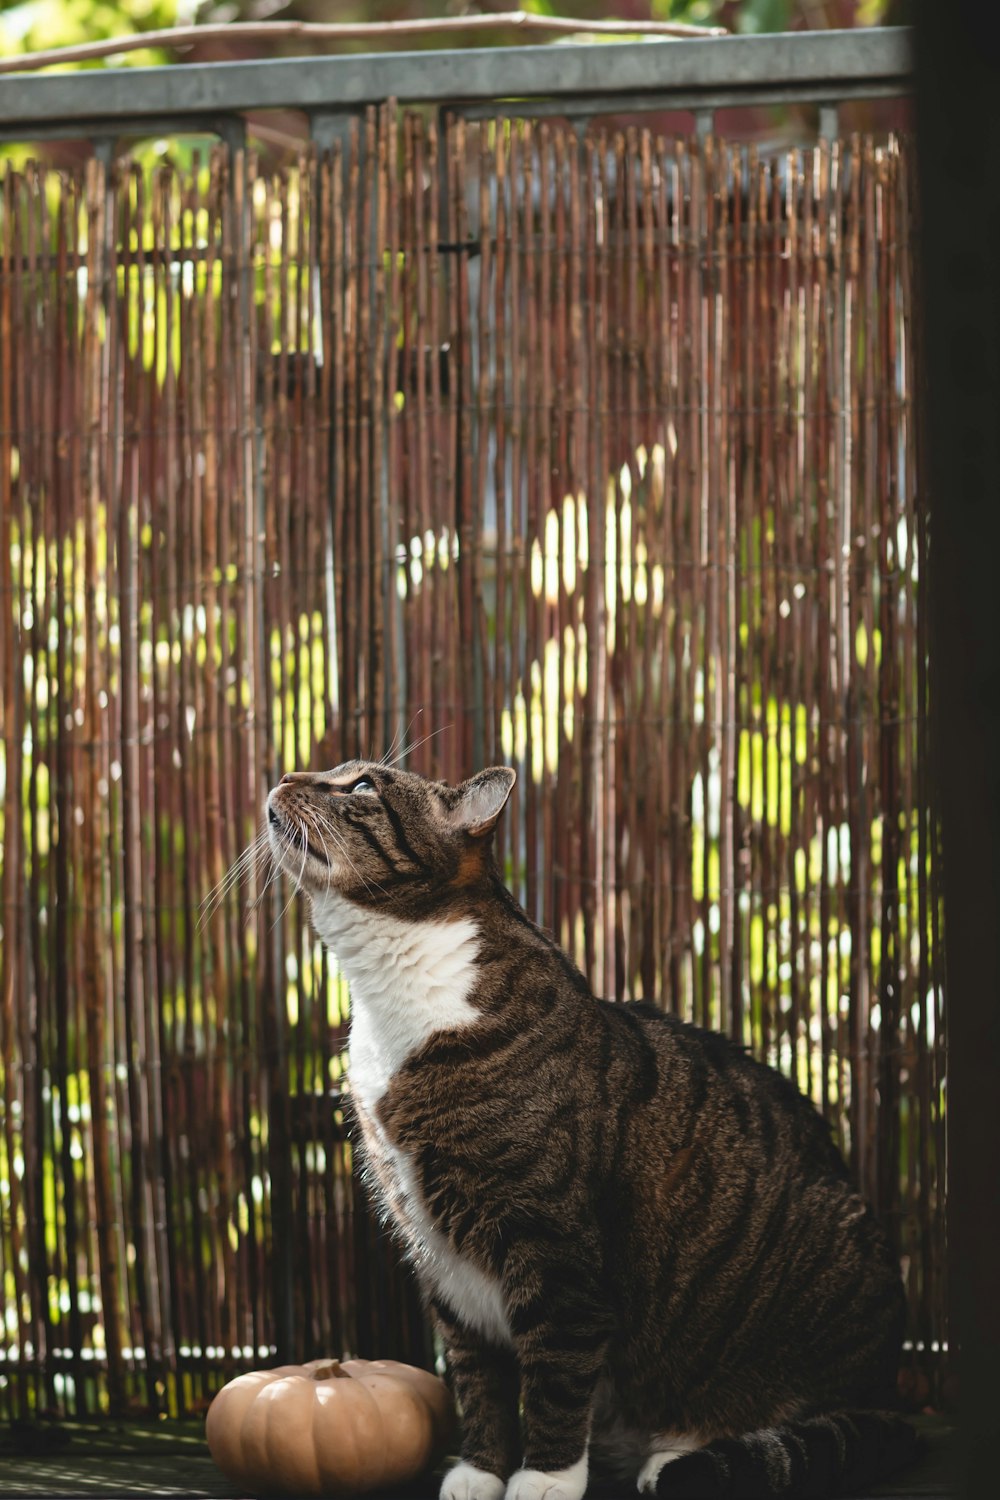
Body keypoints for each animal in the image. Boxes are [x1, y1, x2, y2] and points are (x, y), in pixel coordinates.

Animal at [263, 768, 917, 1494]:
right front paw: (481, 1471)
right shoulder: (443, 1261)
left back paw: (677, 1457)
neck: (390, 1004)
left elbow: (556, 1373)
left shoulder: (554, 1248)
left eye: (361, 786)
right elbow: (478, 1379)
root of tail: (890, 1388)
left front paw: (545, 1478)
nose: (284, 775)